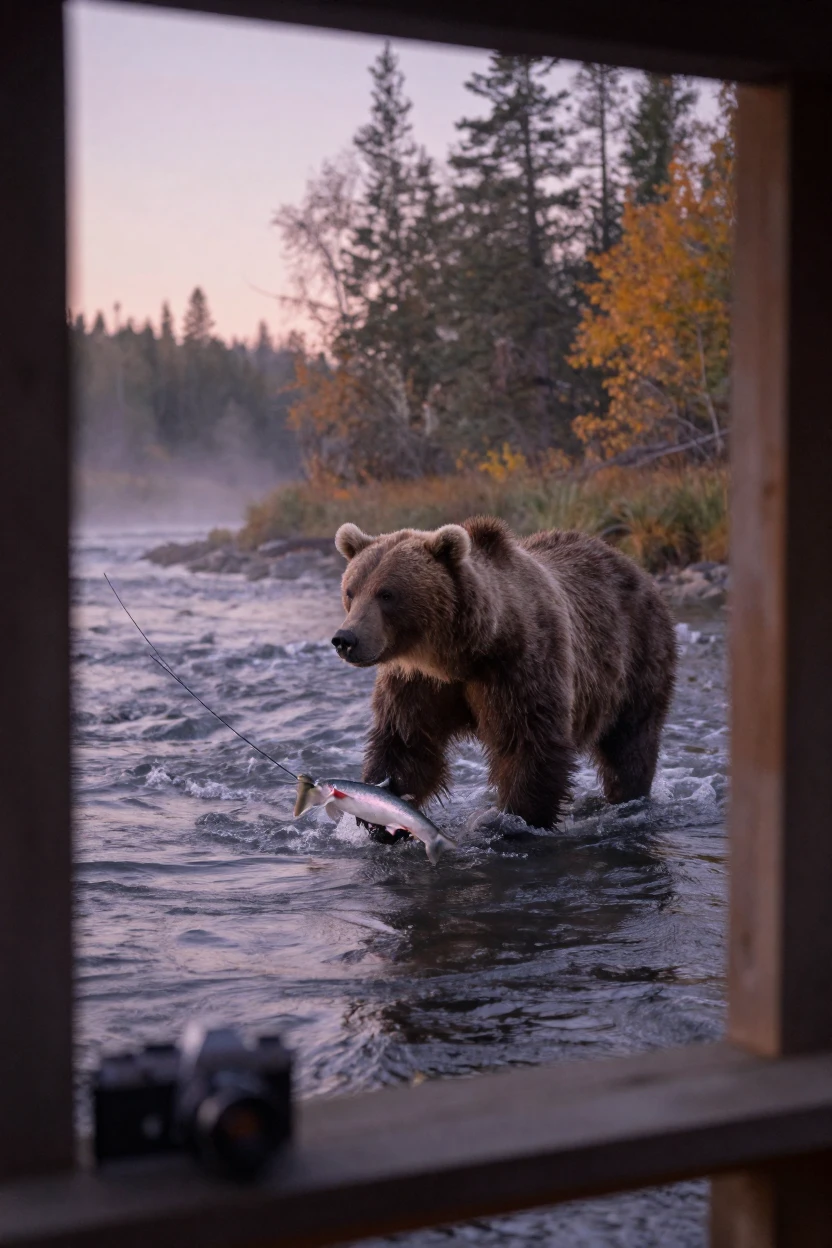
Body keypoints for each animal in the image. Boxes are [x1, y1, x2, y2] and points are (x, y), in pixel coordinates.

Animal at [331, 516, 677, 831]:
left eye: (387, 594)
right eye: (351, 590)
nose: (346, 639)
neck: (459, 655)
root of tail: (629, 562)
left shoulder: (518, 665)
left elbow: (528, 742)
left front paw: (513, 818)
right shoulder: (418, 682)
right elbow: (407, 740)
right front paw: (381, 814)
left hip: (638, 655)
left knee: (630, 740)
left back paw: (628, 795)